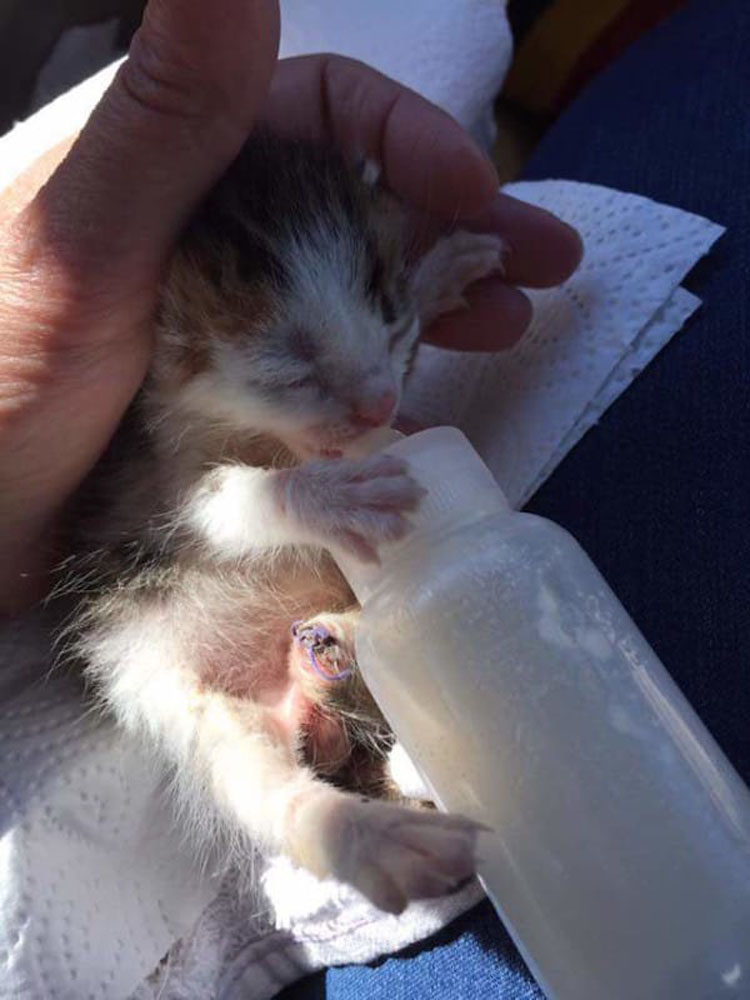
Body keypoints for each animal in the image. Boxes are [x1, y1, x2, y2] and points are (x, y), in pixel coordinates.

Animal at [60, 131, 506, 916]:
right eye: (288, 371)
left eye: (389, 313)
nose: (381, 404)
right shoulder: (149, 486)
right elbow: (234, 505)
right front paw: (334, 495)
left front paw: (442, 269)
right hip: (183, 705)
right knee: (271, 795)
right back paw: (382, 840)